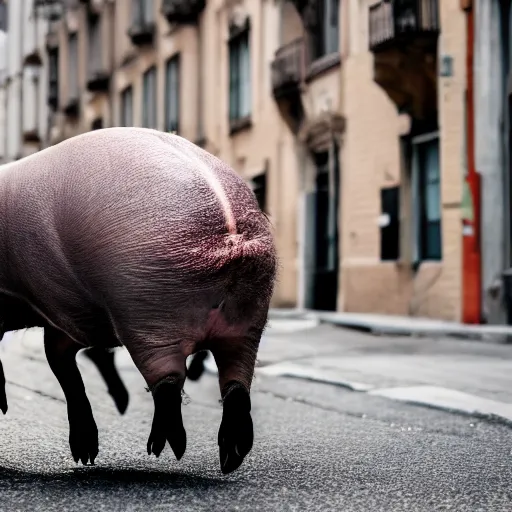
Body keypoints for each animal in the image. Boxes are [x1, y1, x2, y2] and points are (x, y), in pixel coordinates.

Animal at [0, 127, 276, 472]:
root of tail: (231, 231)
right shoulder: (67, 319)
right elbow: (64, 366)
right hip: (248, 319)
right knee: (236, 384)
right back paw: (229, 457)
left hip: (146, 310)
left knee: (168, 382)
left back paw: (164, 449)